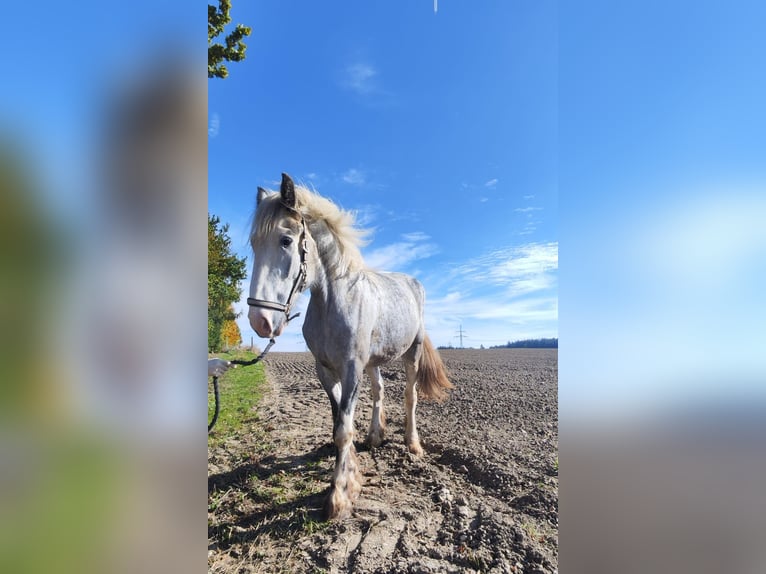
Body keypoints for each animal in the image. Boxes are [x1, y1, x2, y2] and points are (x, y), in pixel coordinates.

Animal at [247, 173, 453, 520]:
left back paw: (412, 444)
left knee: (409, 397)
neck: (334, 300)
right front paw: (351, 467)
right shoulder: (326, 370)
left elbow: (344, 427)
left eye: (285, 240)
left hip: (411, 353)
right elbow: (338, 420)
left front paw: (340, 493)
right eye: (253, 244)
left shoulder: (352, 368)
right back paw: (375, 436)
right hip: (373, 361)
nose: (259, 320)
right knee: (379, 392)